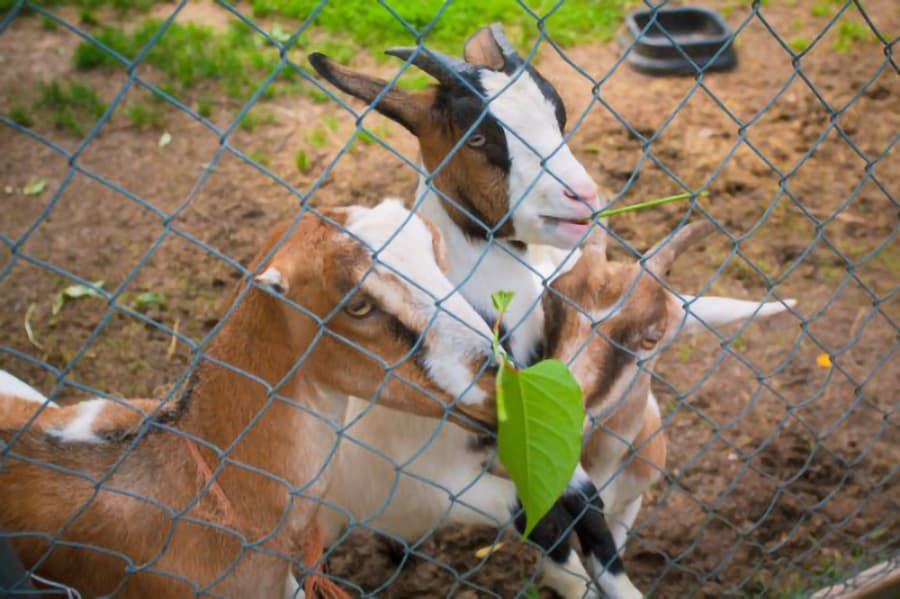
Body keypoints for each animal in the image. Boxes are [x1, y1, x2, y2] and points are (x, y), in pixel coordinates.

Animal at [310, 25, 640, 597]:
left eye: (558, 113)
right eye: (480, 139)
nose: (582, 195)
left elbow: (588, 507)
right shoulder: (448, 483)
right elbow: (550, 528)